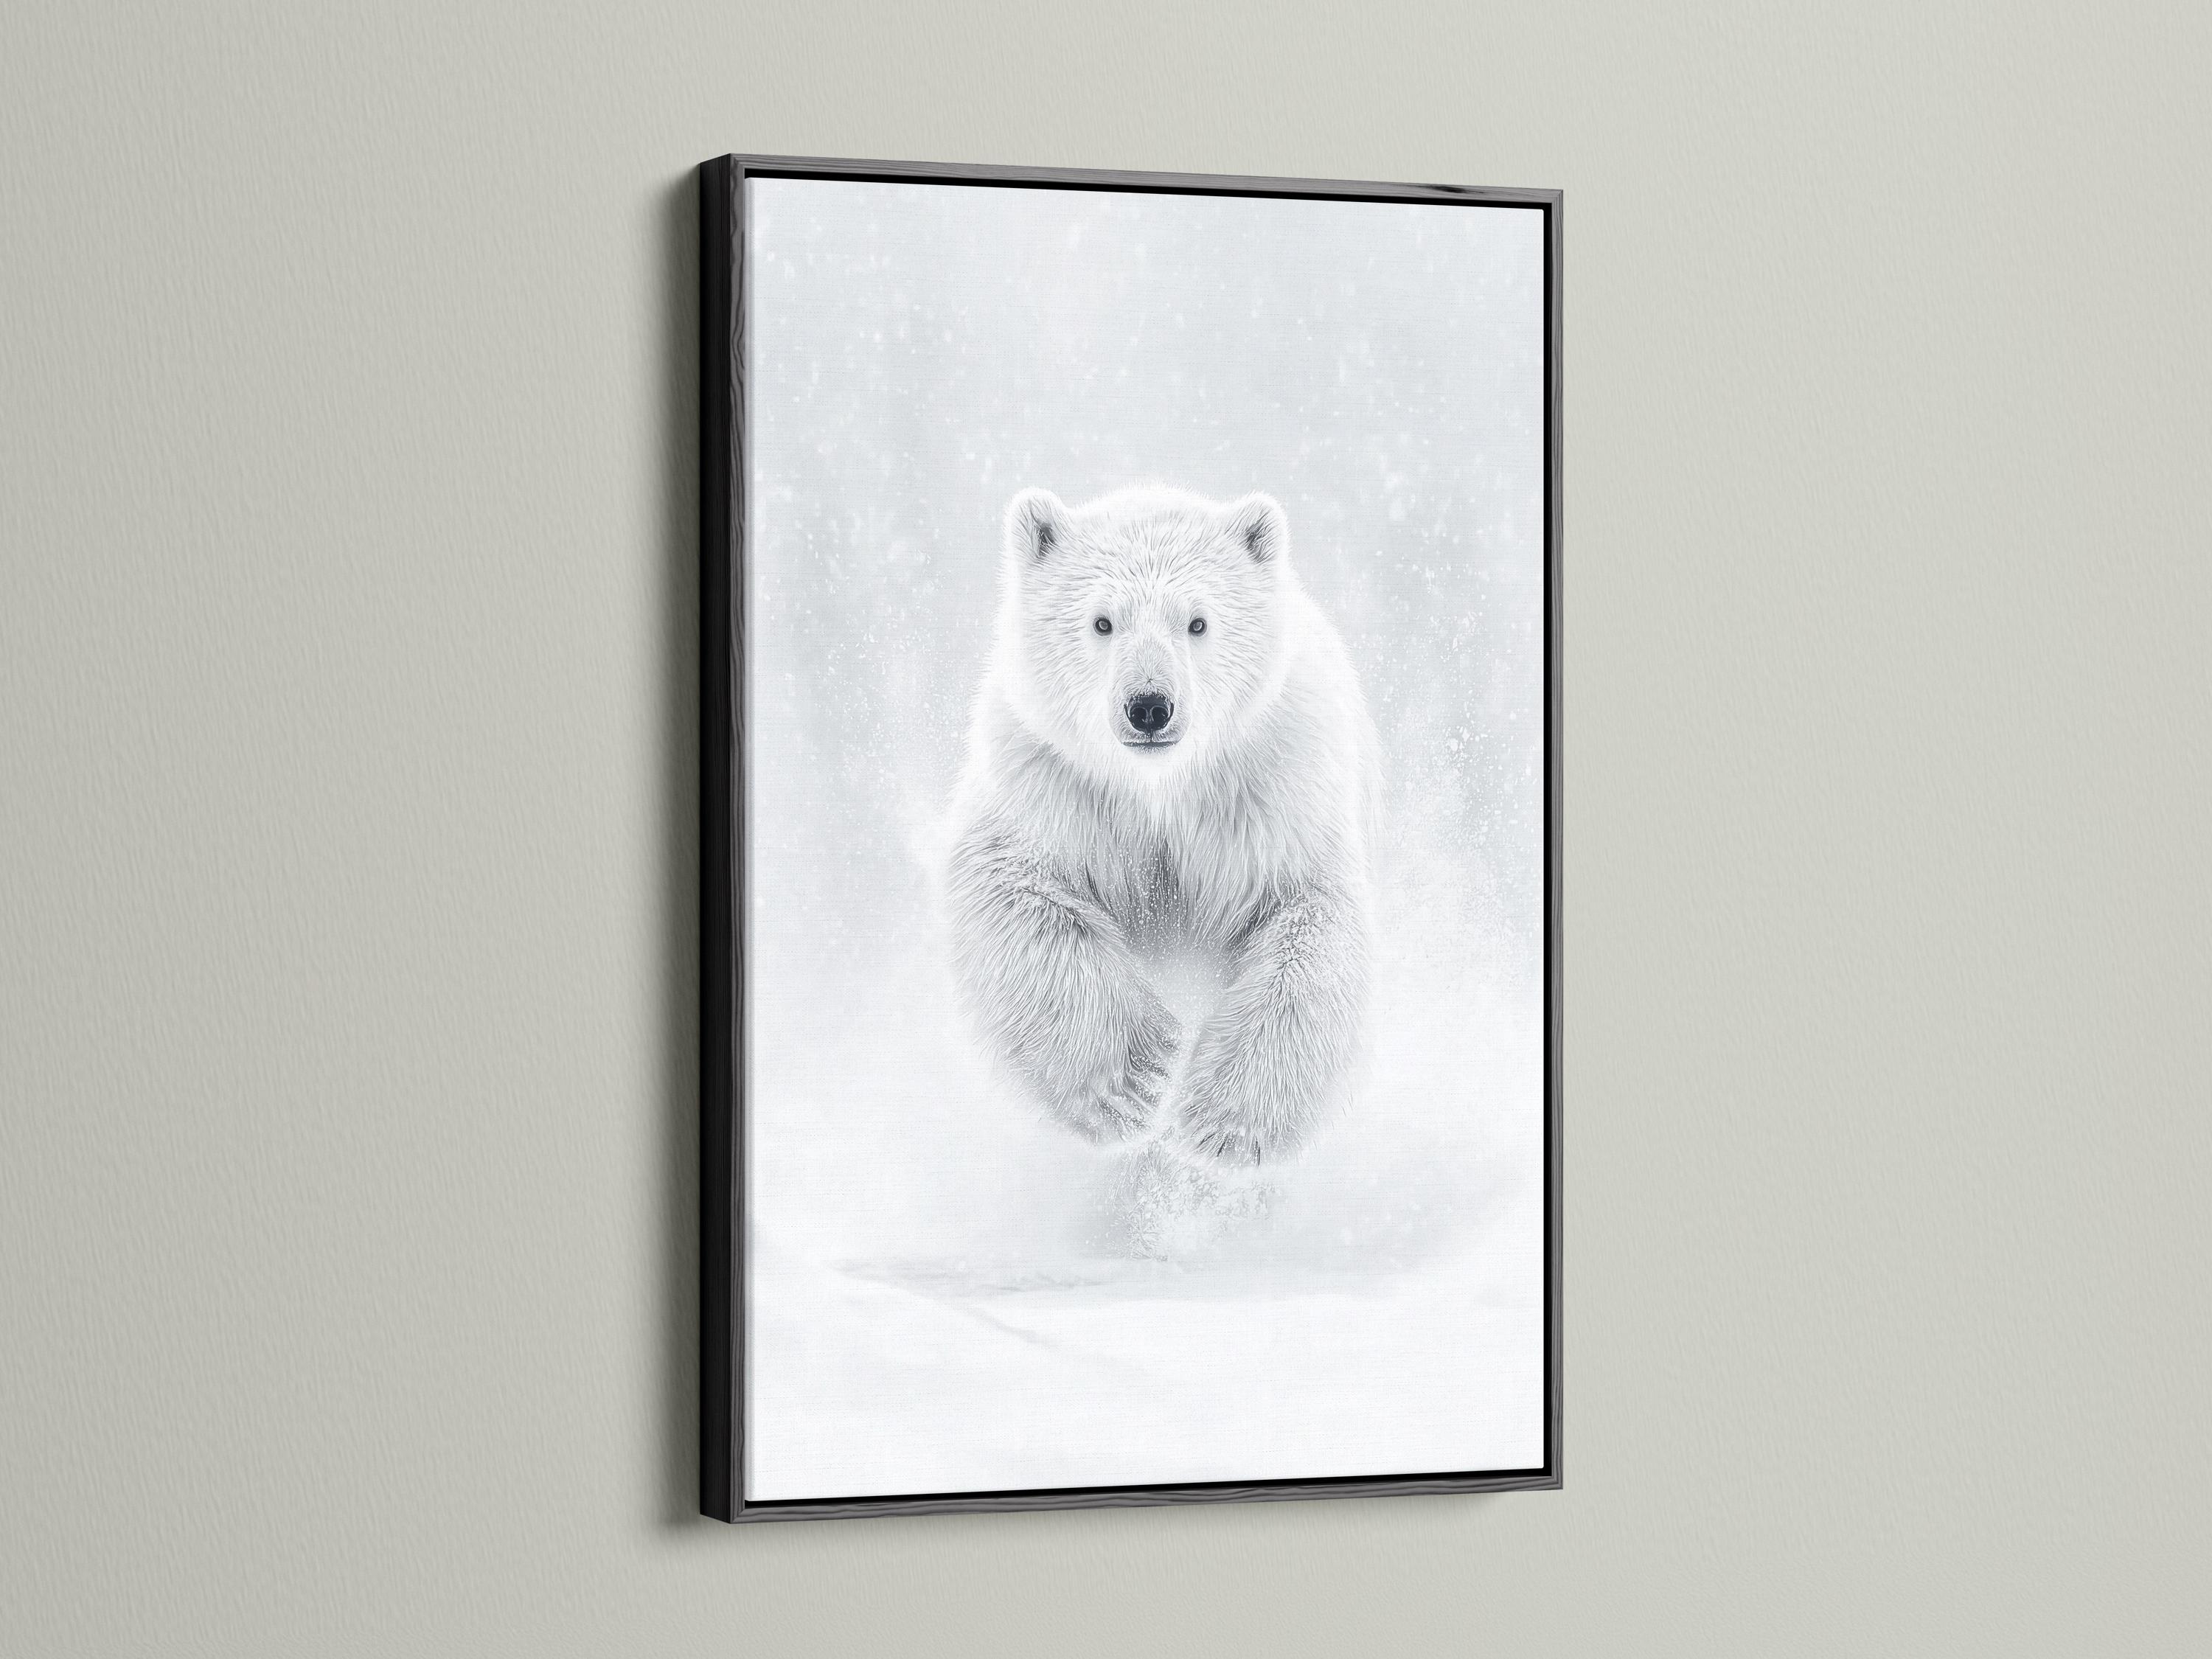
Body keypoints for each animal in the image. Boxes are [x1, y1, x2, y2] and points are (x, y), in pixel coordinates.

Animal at [946, 486, 1378, 1169]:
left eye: (1197, 622)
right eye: (1102, 621)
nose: (1149, 706)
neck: (1159, 789)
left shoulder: (1272, 789)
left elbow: (1309, 921)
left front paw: (1223, 1126)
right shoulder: (1052, 783)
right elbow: (1011, 891)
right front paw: (1135, 1081)